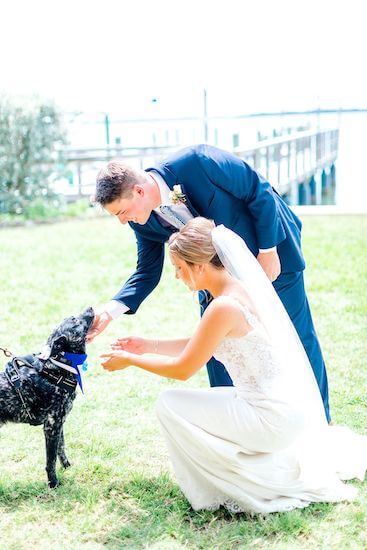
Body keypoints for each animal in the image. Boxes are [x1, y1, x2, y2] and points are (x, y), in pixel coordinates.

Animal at [0, 308, 94, 490]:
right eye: (74, 319)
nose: (91, 307)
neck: (56, 369)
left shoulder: (59, 424)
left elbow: (61, 450)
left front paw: (68, 468)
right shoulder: (51, 426)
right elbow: (50, 461)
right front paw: (53, 484)